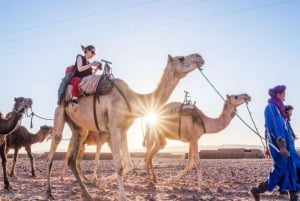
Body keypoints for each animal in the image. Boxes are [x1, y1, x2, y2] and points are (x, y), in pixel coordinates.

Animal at [46, 52, 204, 200]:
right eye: (181, 58)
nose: (199, 57)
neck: (132, 99)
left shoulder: (124, 130)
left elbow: (129, 164)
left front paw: (101, 183)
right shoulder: (114, 128)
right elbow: (119, 165)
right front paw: (121, 196)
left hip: (79, 128)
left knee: (72, 159)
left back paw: (86, 193)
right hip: (60, 111)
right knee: (54, 147)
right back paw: (49, 193)